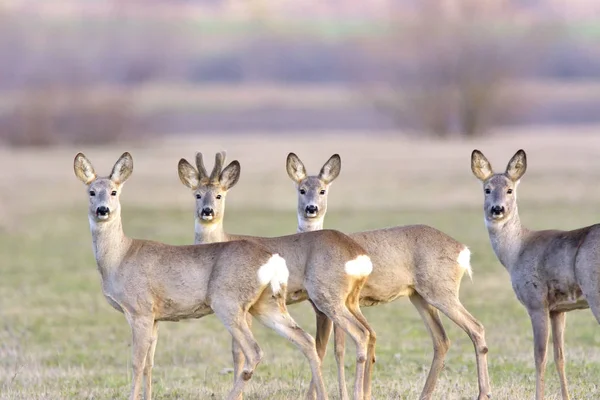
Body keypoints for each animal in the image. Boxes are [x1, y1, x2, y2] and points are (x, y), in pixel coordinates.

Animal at [472, 149, 596, 400]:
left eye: (510, 189)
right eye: (487, 189)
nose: (497, 209)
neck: (516, 251)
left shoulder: (536, 302)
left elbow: (540, 357)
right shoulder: (558, 309)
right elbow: (560, 357)